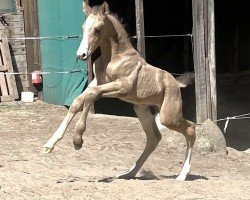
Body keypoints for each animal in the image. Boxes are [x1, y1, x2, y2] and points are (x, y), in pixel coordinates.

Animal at [43, 1, 195, 181]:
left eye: (97, 29)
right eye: (83, 27)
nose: (81, 54)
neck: (115, 56)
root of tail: (176, 83)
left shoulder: (122, 87)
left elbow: (91, 96)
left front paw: (78, 141)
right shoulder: (97, 82)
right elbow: (78, 101)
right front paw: (49, 144)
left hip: (168, 116)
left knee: (191, 129)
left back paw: (182, 175)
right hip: (142, 109)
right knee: (154, 138)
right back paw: (129, 173)